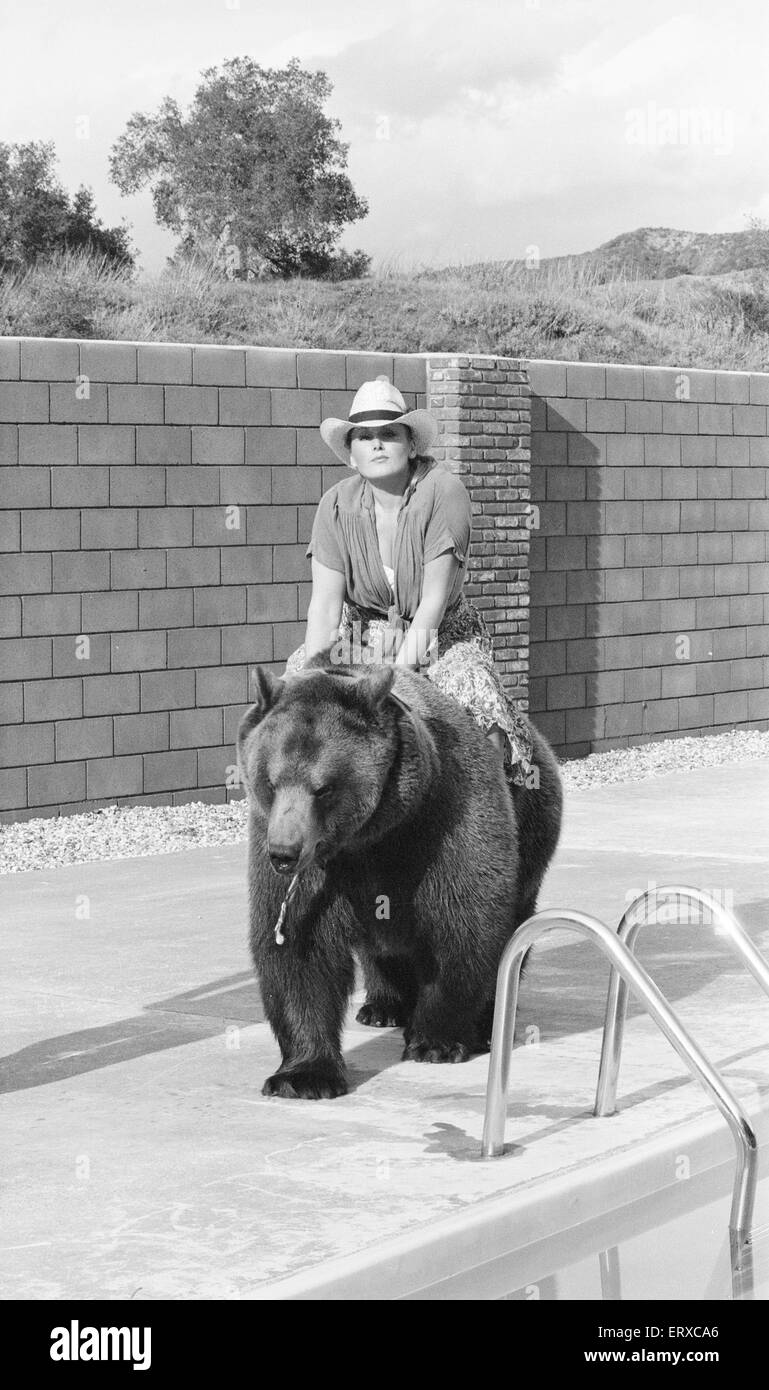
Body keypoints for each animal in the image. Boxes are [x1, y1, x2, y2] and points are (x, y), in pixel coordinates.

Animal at [236, 656, 561, 1100]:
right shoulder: (315, 871)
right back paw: (382, 1006)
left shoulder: (444, 821)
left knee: (511, 927)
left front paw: (435, 1040)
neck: (370, 838)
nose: (284, 853)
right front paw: (303, 1075)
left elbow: (464, 924)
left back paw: (485, 1022)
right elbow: (298, 947)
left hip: (532, 829)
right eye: (270, 781)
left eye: (323, 788)